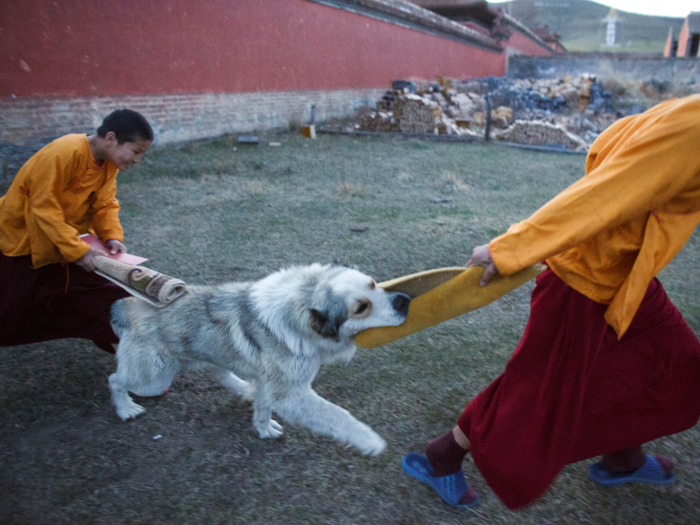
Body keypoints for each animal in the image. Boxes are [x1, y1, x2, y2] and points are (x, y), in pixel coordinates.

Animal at [109, 262, 410, 454]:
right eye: (361, 308)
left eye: (372, 283)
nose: (404, 300)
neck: (300, 306)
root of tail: (126, 305)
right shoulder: (290, 393)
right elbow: (338, 415)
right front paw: (370, 441)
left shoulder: (273, 383)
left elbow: (264, 408)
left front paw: (264, 430)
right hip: (154, 378)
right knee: (114, 379)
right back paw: (125, 409)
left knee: (219, 372)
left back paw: (245, 388)